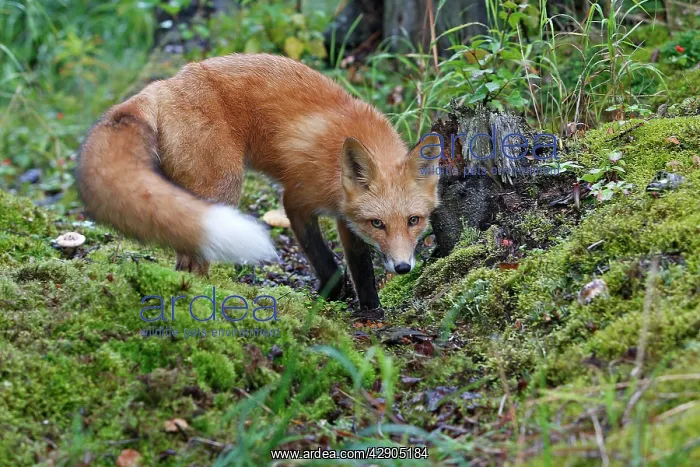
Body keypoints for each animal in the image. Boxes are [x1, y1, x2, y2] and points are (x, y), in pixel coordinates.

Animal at [77, 53, 441, 313]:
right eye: (379, 223)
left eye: (414, 220)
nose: (403, 267)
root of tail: (162, 85)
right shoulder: (296, 200)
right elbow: (323, 256)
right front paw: (335, 291)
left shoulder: (346, 215)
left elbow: (360, 263)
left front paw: (371, 310)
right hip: (223, 188)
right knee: (193, 259)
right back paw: (205, 300)